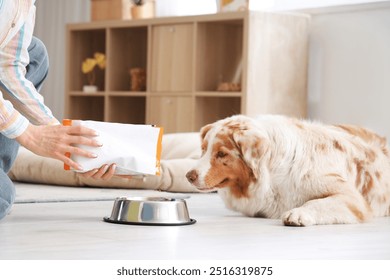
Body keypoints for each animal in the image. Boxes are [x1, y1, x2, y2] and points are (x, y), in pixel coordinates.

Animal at [187, 115, 390, 226]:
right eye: (203, 150)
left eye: (221, 154)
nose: (189, 176)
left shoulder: (351, 197)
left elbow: (317, 202)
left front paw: (298, 214)